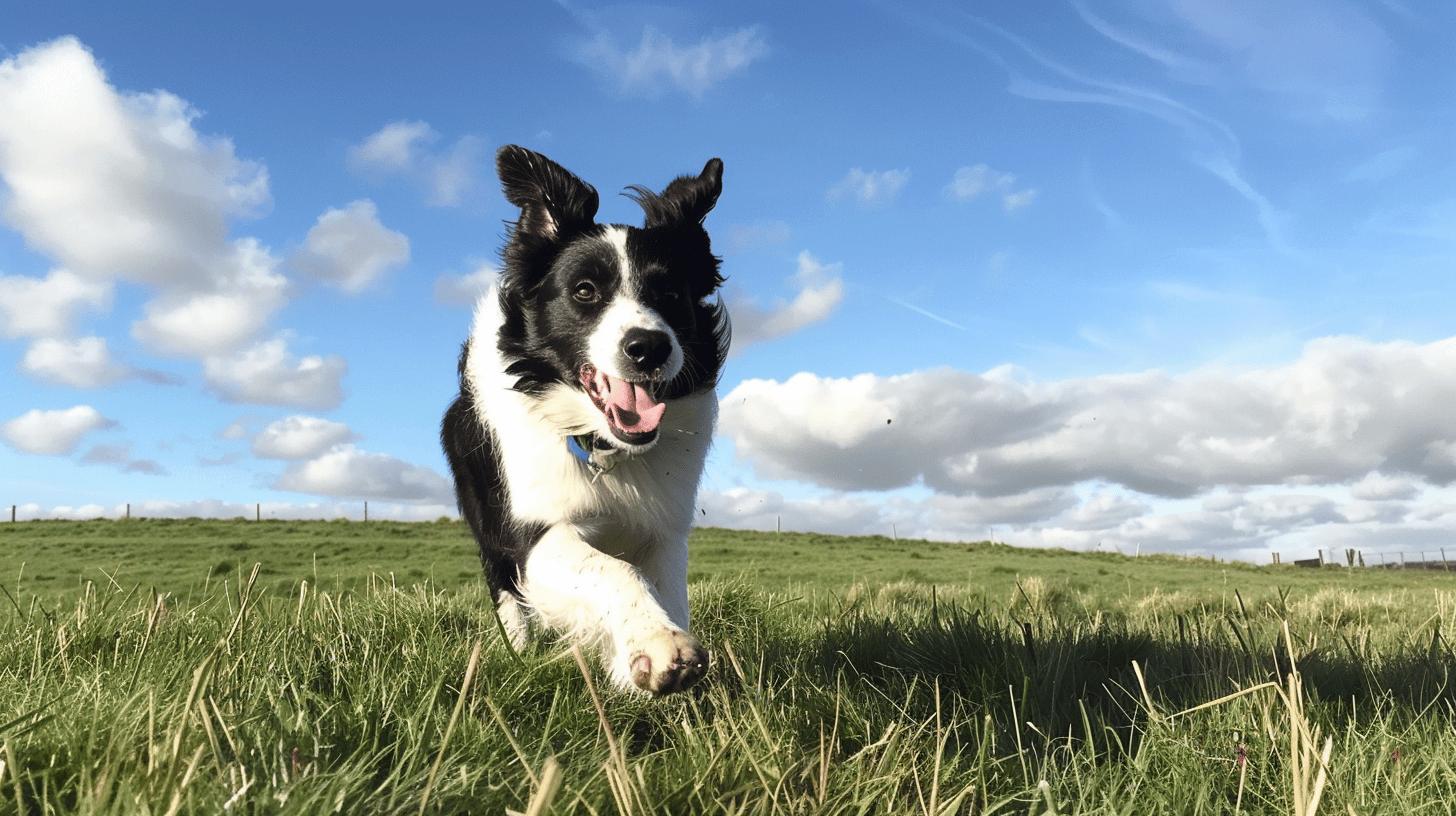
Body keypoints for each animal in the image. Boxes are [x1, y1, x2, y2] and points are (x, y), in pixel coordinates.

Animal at [436, 146, 722, 693]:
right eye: (585, 291)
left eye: (670, 294)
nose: (649, 348)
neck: (605, 446)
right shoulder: (532, 529)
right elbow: (612, 571)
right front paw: (657, 645)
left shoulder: (664, 527)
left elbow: (667, 592)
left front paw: (645, 652)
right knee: (505, 590)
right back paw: (516, 650)